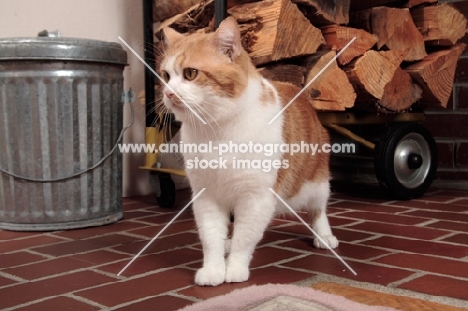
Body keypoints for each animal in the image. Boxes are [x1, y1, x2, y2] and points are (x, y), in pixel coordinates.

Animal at [161, 17, 336, 288]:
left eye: (190, 73)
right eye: (166, 76)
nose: (168, 93)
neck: (217, 131)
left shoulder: (256, 198)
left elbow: (245, 238)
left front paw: (235, 268)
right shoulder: (206, 196)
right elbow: (211, 237)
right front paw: (213, 269)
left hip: (315, 184)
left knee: (318, 209)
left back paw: (324, 236)